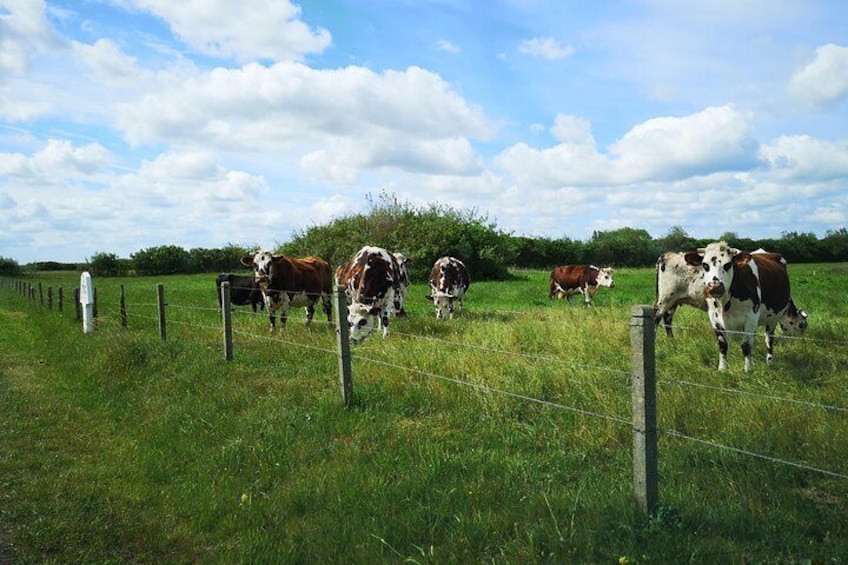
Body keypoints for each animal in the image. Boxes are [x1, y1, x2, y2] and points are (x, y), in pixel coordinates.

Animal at [656, 249, 808, 338]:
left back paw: (671, 340)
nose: (800, 341)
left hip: (674, 300)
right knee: (657, 316)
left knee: (668, 319)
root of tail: (667, 255)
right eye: (801, 325)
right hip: (666, 298)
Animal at [692, 241, 804, 370]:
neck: (724, 303)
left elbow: (746, 345)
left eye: (728, 265)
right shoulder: (714, 317)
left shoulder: (751, 317)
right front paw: (722, 369)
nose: (715, 286)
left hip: (773, 319)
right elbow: (722, 345)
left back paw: (770, 361)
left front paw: (748, 369)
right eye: (705, 265)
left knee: (769, 338)